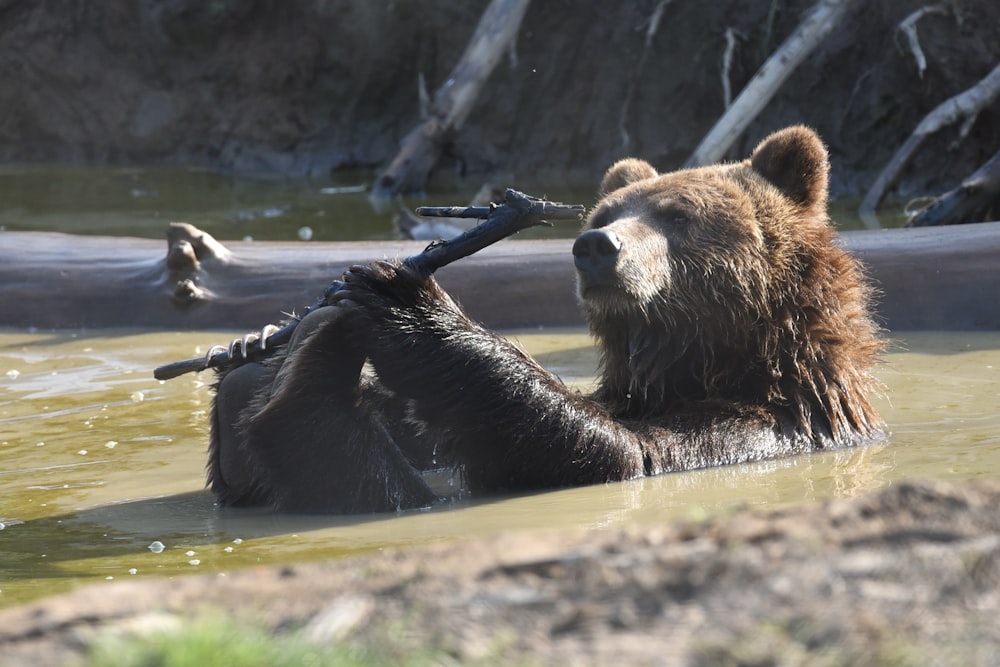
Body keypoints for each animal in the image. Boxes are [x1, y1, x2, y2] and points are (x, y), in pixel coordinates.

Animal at [209, 124, 884, 512]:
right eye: (608, 212)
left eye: (679, 215)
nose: (596, 246)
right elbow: (426, 427)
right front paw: (262, 340)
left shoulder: (765, 426)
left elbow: (624, 453)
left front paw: (404, 299)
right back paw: (267, 361)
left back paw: (313, 353)